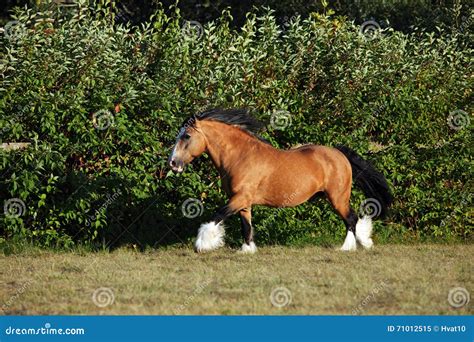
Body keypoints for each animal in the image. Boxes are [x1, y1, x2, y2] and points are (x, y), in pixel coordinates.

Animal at [168, 108, 390, 252]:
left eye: (186, 136)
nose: (173, 163)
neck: (240, 156)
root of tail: (339, 154)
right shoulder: (244, 202)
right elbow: (246, 226)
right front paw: (247, 250)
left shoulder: (239, 198)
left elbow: (217, 215)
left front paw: (202, 244)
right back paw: (364, 242)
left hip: (338, 197)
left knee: (351, 219)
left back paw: (347, 247)